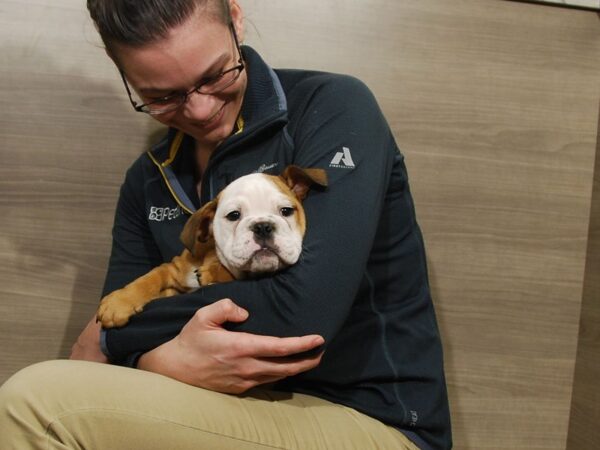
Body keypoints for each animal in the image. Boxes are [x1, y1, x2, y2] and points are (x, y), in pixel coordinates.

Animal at [96, 164, 326, 326]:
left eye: (286, 211)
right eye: (233, 215)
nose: (263, 227)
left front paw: (211, 274)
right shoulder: (174, 269)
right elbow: (148, 279)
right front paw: (120, 302)